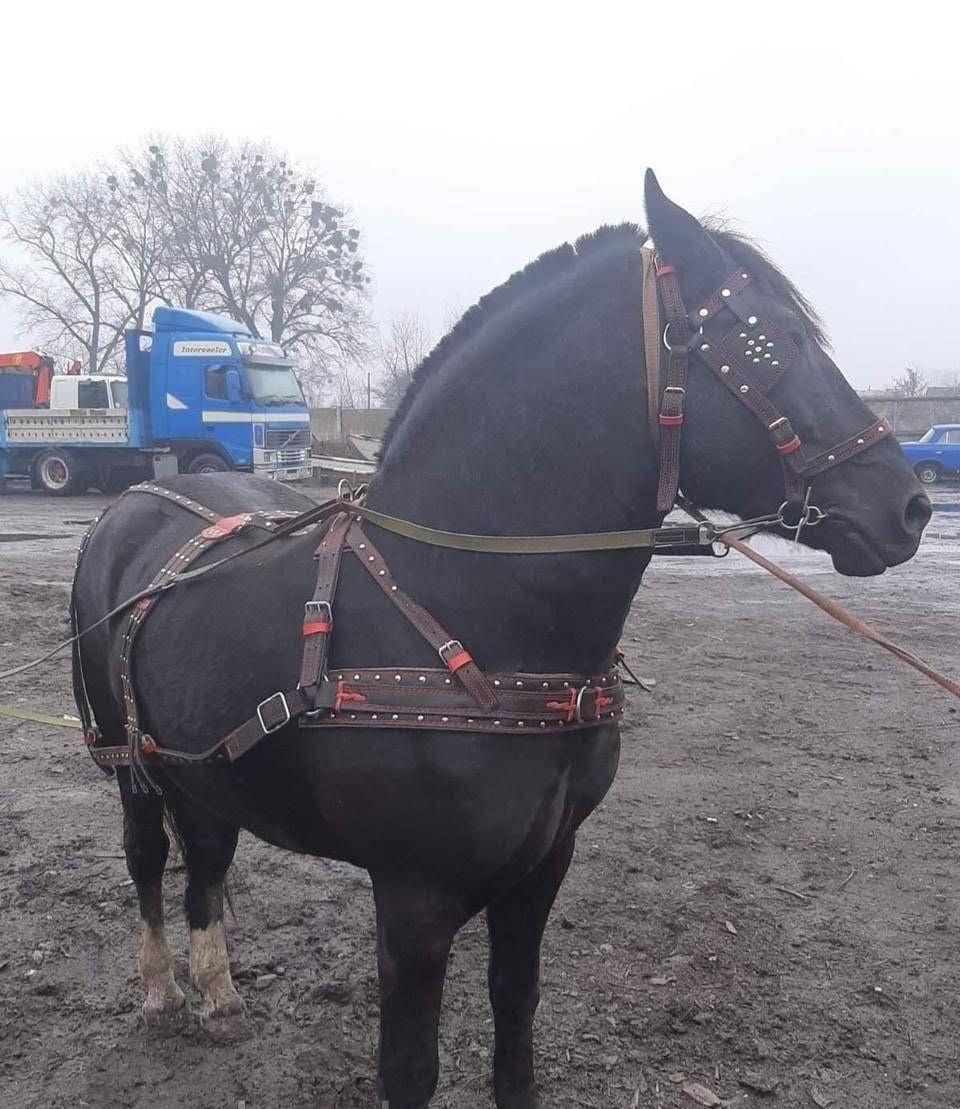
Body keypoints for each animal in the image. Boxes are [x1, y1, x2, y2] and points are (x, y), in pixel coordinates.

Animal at [70, 175, 922, 1109]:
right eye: (769, 340)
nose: (909, 506)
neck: (467, 619)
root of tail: (131, 505)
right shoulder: (414, 895)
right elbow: (410, 1068)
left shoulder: (543, 865)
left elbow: (517, 1017)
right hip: (129, 762)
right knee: (150, 857)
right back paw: (160, 988)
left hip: (207, 766)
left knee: (208, 855)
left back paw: (220, 995)